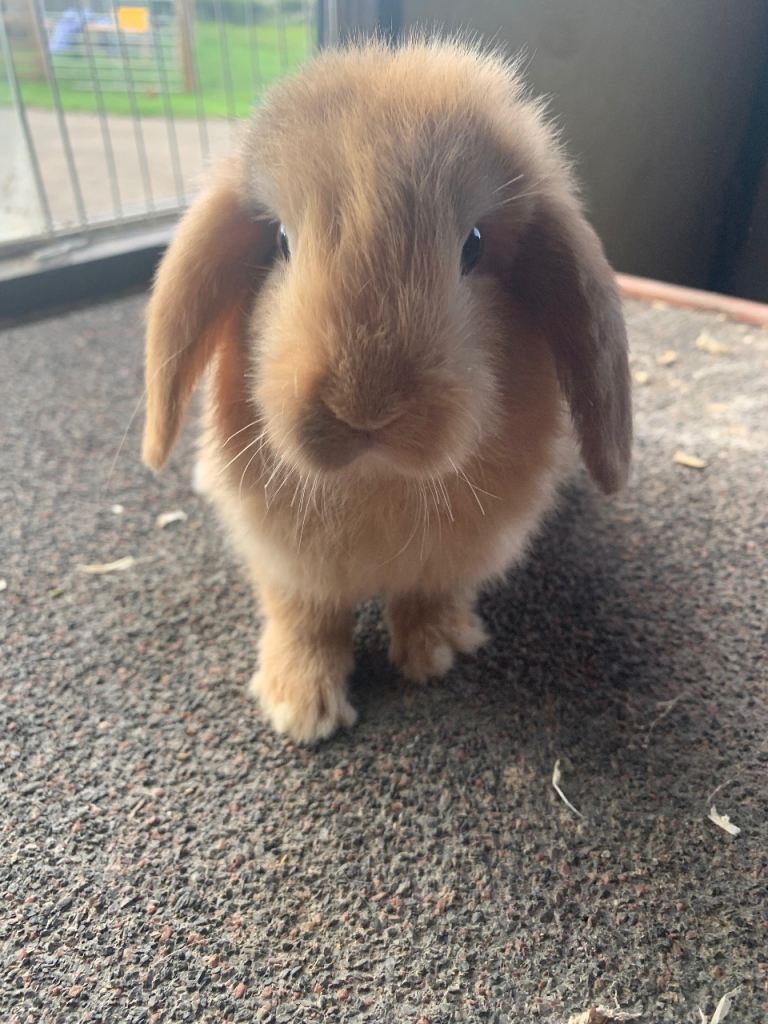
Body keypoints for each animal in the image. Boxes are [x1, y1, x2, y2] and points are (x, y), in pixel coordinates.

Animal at [142, 37, 632, 744]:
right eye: (281, 241)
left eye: (474, 246)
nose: (364, 406)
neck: (375, 479)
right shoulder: (287, 564)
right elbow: (304, 618)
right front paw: (300, 708)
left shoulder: (453, 560)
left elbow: (426, 596)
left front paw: (434, 653)